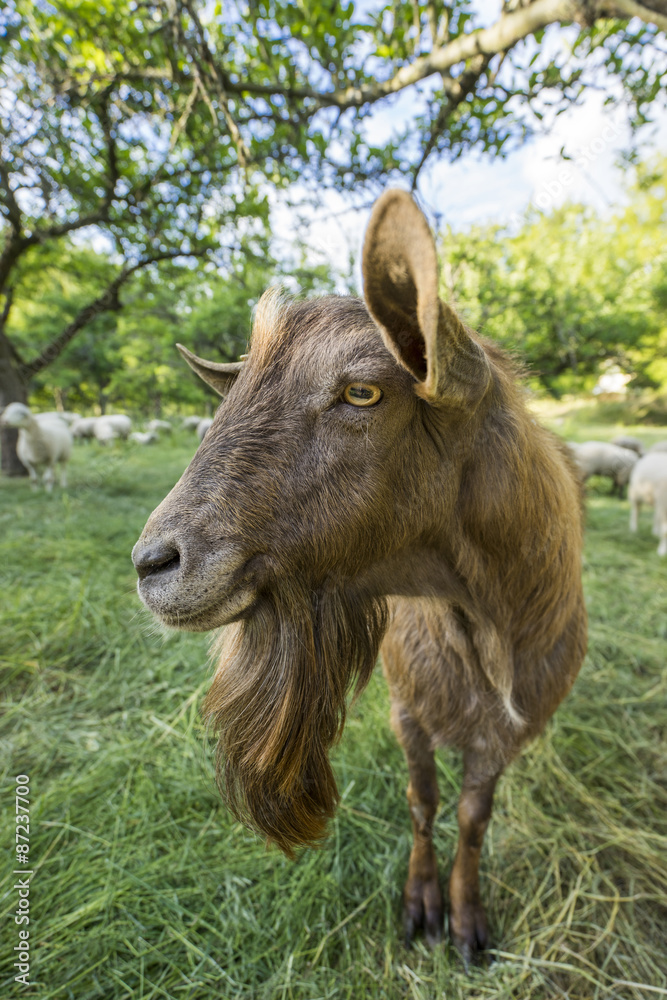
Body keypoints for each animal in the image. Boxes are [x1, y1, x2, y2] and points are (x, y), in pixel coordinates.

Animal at [132, 189, 588, 960]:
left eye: (362, 393)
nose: (154, 564)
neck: (480, 618)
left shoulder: (507, 731)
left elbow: (473, 814)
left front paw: (466, 922)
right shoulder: (408, 708)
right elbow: (422, 799)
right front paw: (421, 905)